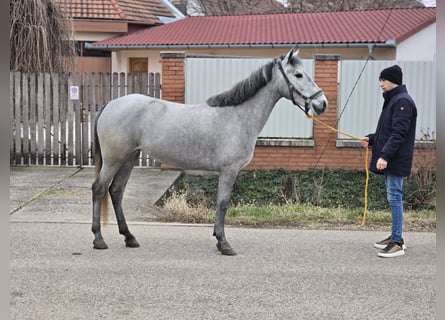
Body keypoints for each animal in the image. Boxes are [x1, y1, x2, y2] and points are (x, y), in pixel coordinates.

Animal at [91, 48, 326, 256]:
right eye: (298, 74)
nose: (321, 103)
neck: (237, 116)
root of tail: (110, 104)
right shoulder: (229, 170)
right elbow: (222, 204)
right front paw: (224, 243)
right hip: (114, 160)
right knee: (99, 189)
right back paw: (99, 239)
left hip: (129, 158)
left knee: (116, 191)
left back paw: (129, 237)